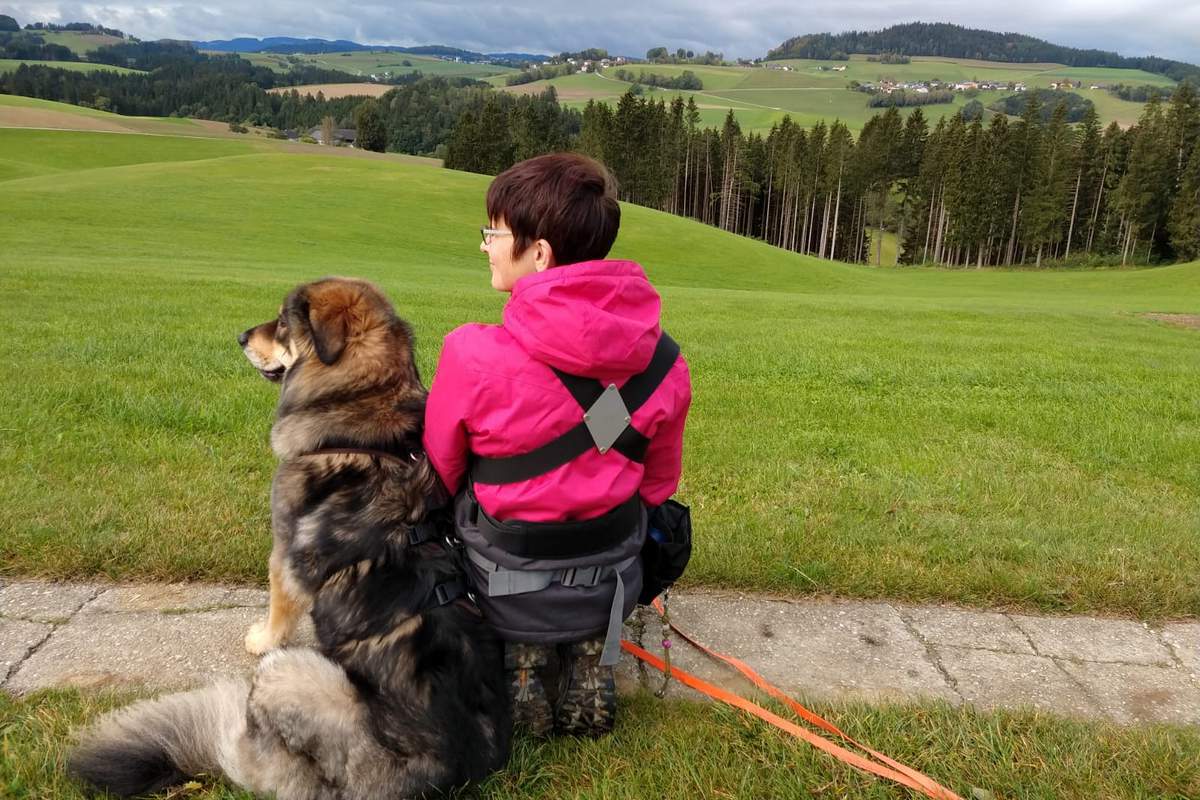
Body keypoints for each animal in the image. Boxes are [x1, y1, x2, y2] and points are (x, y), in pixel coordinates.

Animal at [70, 278, 511, 796]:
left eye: (282, 322)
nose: (240, 336)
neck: (362, 412)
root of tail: (433, 774)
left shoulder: (282, 552)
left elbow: (279, 607)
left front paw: (260, 636)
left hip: (290, 672)